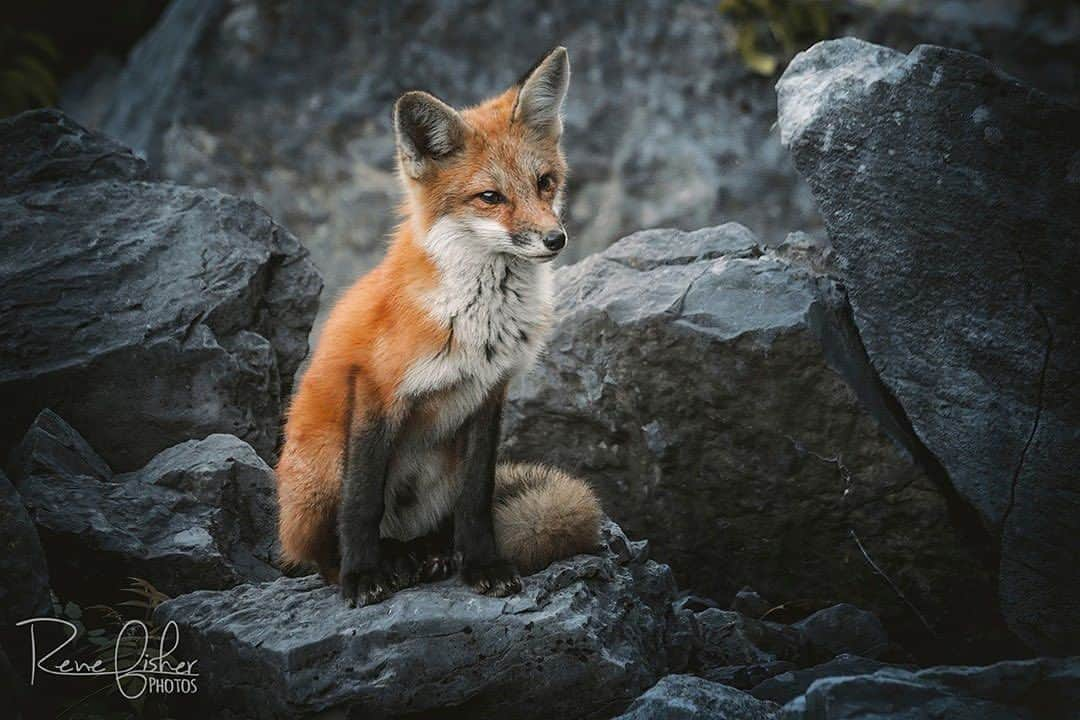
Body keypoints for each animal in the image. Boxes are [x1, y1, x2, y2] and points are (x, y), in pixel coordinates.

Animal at [274, 47, 604, 604]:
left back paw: (428, 555)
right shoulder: (376, 390)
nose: (554, 239)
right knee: (318, 552)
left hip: (439, 468)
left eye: (545, 183)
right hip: (321, 469)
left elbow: (477, 500)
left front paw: (482, 564)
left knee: (433, 529)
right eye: (490, 197)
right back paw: (376, 563)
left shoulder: (489, 395)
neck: (477, 321)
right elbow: (361, 503)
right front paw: (362, 575)